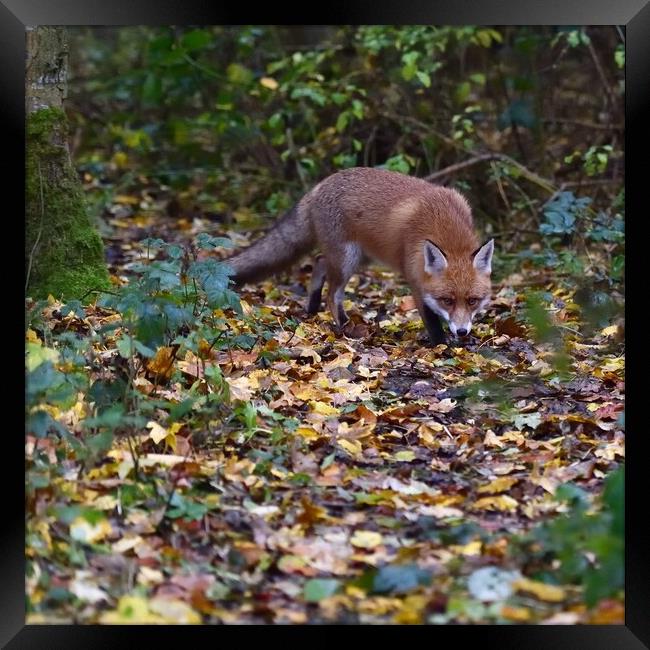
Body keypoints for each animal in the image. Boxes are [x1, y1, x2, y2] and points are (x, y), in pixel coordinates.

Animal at [224, 167, 492, 344]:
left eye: (472, 301)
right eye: (447, 300)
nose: (462, 332)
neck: (445, 227)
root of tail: (318, 186)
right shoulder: (415, 278)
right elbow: (431, 318)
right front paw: (440, 344)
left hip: (359, 258)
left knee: (319, 261)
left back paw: (312, 305)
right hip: (347, 259)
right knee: (333, 294)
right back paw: (345, 327)